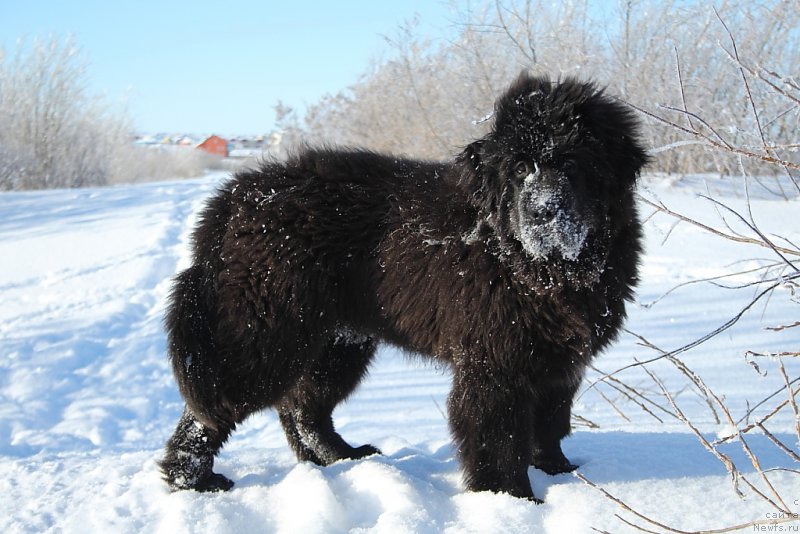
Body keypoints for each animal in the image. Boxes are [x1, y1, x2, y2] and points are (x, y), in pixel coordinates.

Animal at [159, 73, 648, 504]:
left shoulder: (556, 360)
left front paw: (562, 473)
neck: (543, 268)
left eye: (571, 164)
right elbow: (499, 437)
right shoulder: (495, 364)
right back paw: (192, 478)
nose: (543, 211)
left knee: (303, 406)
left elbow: (550, 424)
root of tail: (235, 195)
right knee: (212, 406)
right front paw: (511, 500)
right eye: (521, 168)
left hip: (338, 341)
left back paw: (339, 458)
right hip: (263, 330)